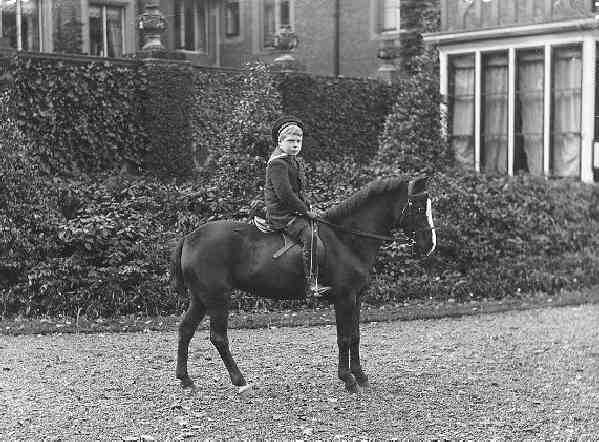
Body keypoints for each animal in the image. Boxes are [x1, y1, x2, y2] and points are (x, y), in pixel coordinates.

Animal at [169, 175, 436, 394]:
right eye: (418, 207)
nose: (430, 245)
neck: (346, 238)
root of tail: (190, 237)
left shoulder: (356, 298)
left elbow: (355, 336)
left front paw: (360, 376)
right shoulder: (344, 298)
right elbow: (344, 338)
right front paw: (348, 379)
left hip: (200, 298)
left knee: (186, 329)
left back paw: (186, 379)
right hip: (217, 297)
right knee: (218, 337)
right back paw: (239, 381)